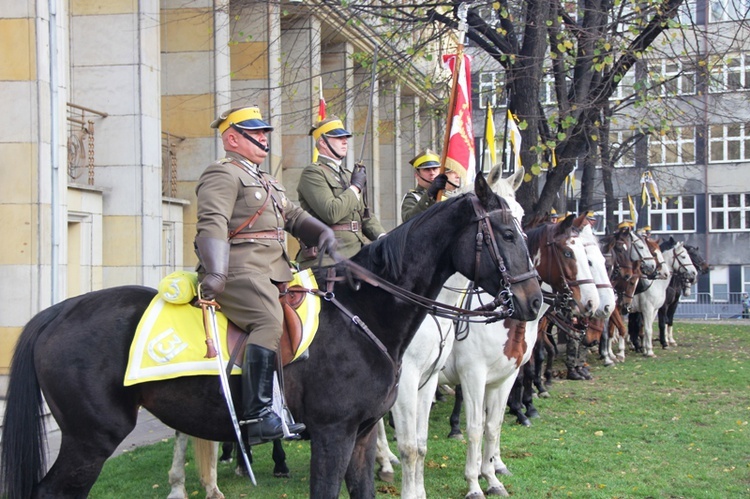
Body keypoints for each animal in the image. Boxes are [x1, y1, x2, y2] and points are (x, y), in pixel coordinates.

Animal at [0, 174, 540, 498]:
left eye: (524, 228)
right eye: (507, 233)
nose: (535, 301)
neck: (364, 315)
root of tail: (57, 312)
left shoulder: (363, 434)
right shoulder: (333, 433)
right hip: (91, 439)